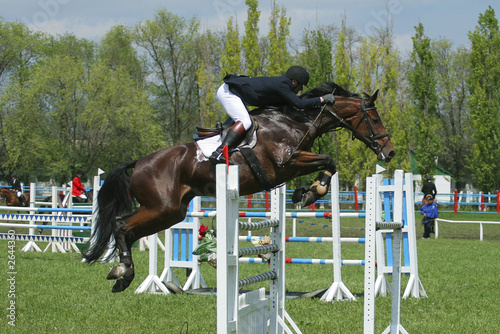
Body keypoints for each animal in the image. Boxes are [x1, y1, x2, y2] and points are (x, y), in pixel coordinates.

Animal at [83, 81, 394, 292]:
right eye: (374, 118)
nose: (389, 153)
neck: (295, 120)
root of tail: (139, 162)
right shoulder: (287, 161)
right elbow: (329, 159)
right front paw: (311, 192)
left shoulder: (292, 164)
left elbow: (329, 163)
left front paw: (305, 192)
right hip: (161, 208)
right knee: (121, 225)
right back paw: (123, 271)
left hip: (171, 213)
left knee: (129, 230)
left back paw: (123, 274)